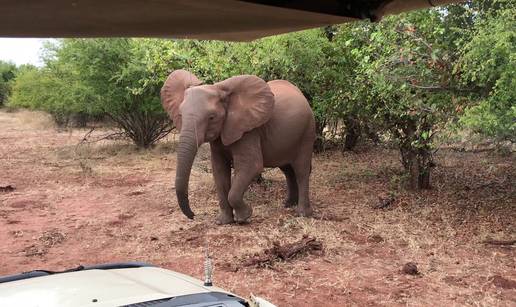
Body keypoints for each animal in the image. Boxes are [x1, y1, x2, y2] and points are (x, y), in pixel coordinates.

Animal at [160, 69, 314, 224]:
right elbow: (219, 170)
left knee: (301, 170)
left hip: (307, 132)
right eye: (180, 115)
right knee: (287, 169)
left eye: (212, 117)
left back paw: (303, 213)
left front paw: (244, 217)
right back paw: (288, 204)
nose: (193, 215)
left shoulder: (248, 130)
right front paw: (224, 222)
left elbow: (251, 166)